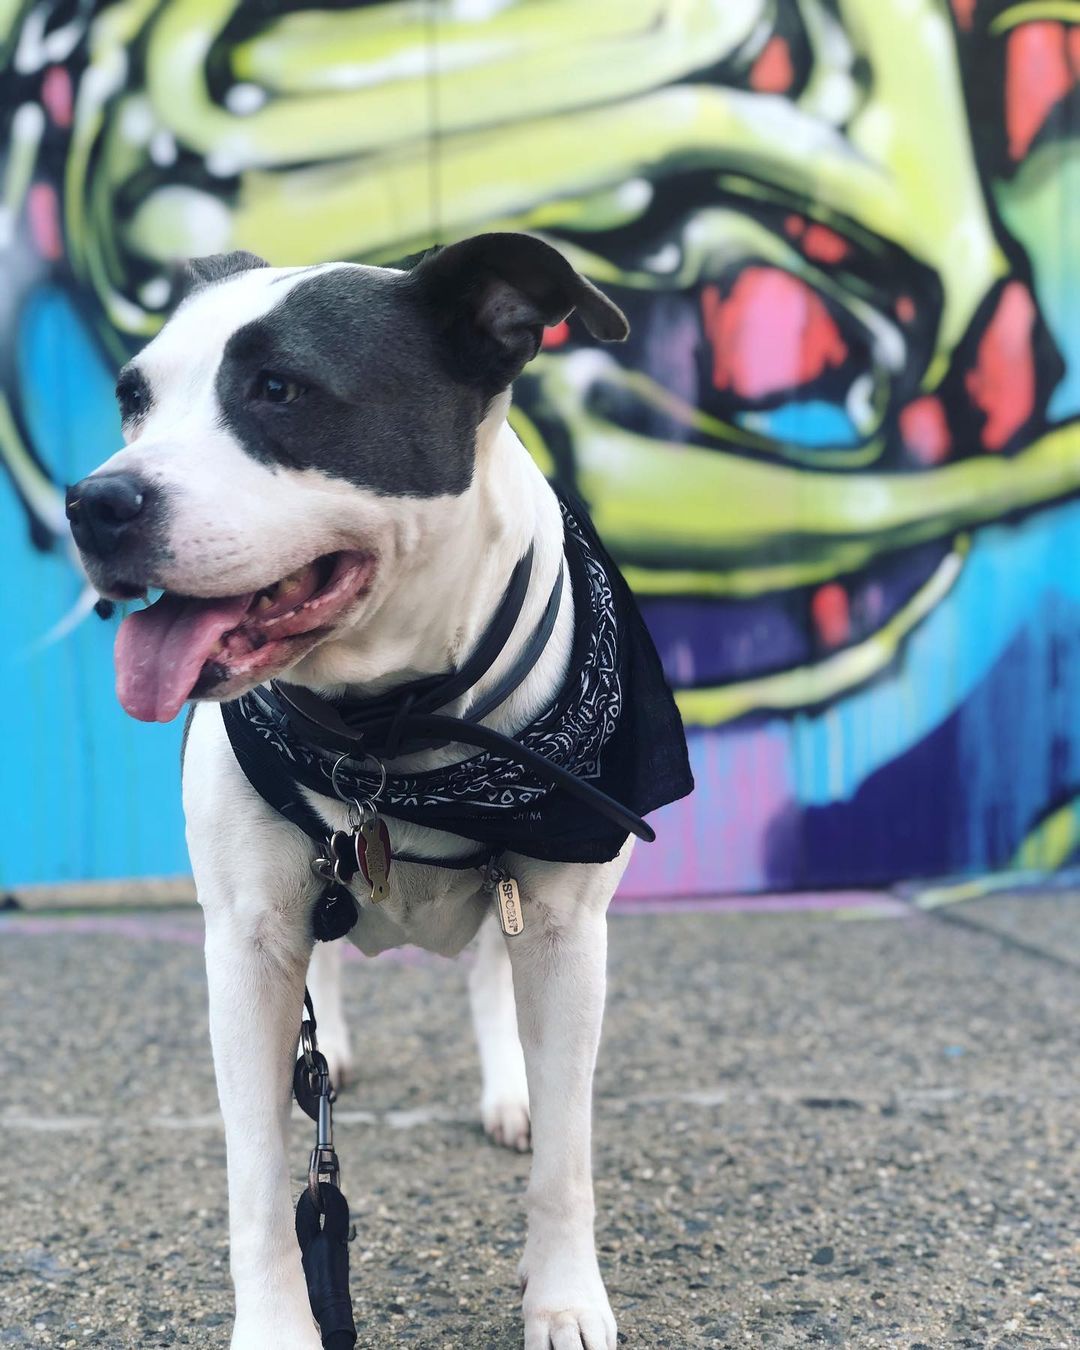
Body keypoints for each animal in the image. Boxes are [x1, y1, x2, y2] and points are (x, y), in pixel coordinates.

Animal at [65, 234, 691, 1350]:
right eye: (133, 397)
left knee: (490, 973)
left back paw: (508, 1086)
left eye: (279, 389)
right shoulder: (247, 937)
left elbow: (568, 1153)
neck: (389, 725)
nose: (94, 504)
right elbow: (259, 1174)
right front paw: (276, 1327)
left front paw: (565, 1297)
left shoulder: (566, 926)